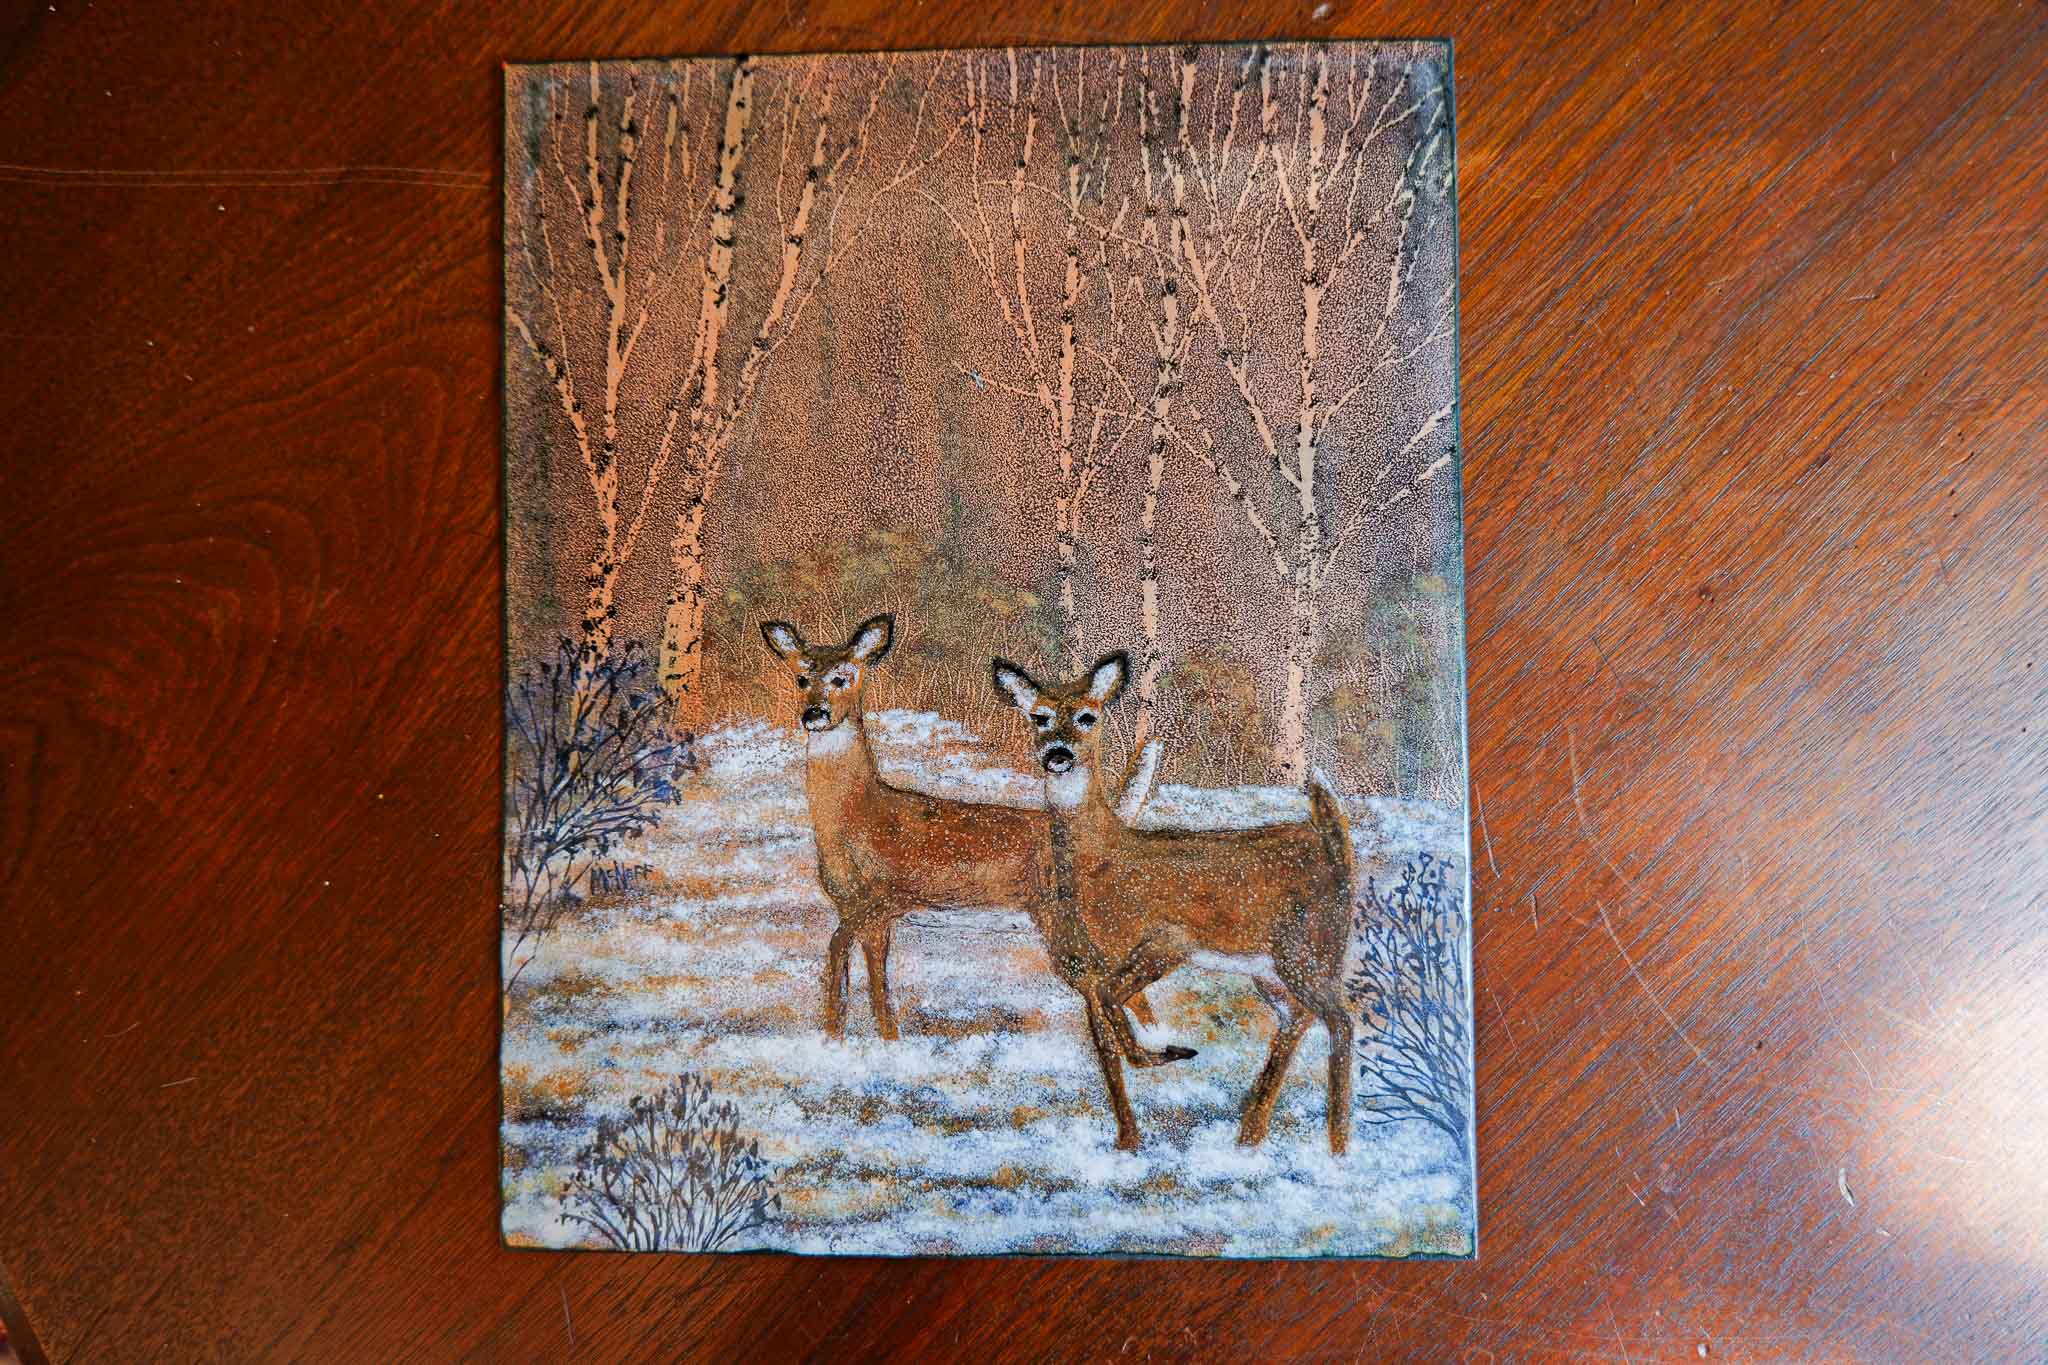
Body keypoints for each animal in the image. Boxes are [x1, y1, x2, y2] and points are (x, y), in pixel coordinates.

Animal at [759, 614, 1168, 1045]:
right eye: (801, 678)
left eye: (843, 677)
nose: (814, 714)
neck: (857, 817)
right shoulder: (858, 908)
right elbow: (875, 980)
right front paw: (861, 1038)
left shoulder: (890, 893)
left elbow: (840, 947)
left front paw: (836, 1036)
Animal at [991, 651, 1359, 1154]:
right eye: (1039, 717)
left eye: (1087, 716)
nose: (1058, 755)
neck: (1102, 861)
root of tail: (1335, 849)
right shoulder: (1090, 968)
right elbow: (1106, 1045)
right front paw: (1128, 1138)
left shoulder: (1168, 938)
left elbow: (1115, 1008)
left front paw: (1168, 1054)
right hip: (1272, 967)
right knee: (1299, 1018)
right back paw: (1250, 1134)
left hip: (1309, 947)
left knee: (1341, 1019)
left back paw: (1337, 1146)